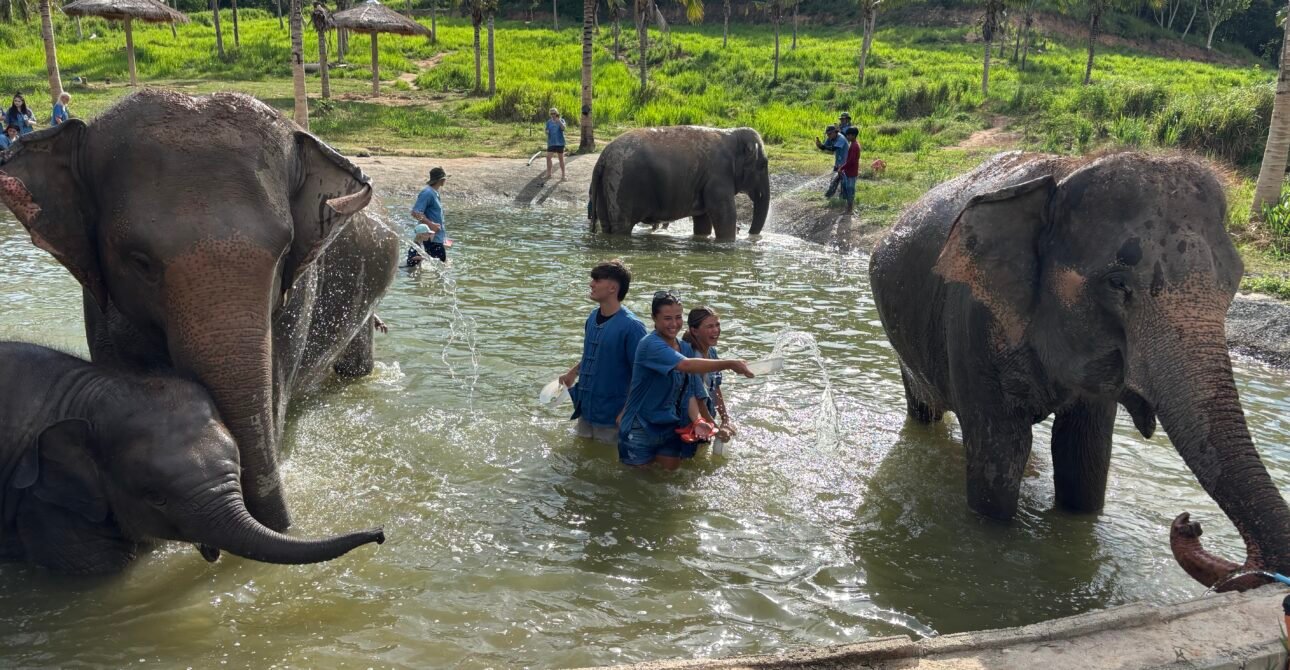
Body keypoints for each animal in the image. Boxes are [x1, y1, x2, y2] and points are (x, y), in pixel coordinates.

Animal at [587, 126, 770, 240]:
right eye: (763, 165)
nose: (750, 235)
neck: (733, 134)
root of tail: (602, 159)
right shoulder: (719, 176)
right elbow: (725, 216)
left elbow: (703, 219)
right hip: (622, 185)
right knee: (621, 227)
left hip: (605, 187)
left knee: (607, 226)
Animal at [868, 151, 1290, 592]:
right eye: (1117, 283)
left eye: (1233, 281)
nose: (1189, 522)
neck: (1067, 173)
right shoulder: (973, 317)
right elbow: (1001, 450)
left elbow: (1084, 452)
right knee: (925, 412)